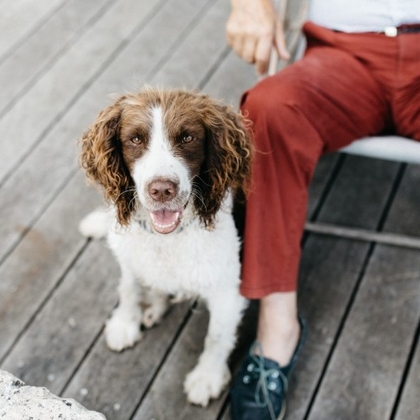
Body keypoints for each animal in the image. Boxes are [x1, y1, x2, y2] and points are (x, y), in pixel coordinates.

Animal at [77, 87, 251, 406]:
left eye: (187, 138)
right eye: (135, 139)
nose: (161, 190)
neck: (166, 238)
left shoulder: (226, 290)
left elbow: (216, 336)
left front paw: (207, 377)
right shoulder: (130, 256)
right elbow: (128, 288)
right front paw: (125, 323)